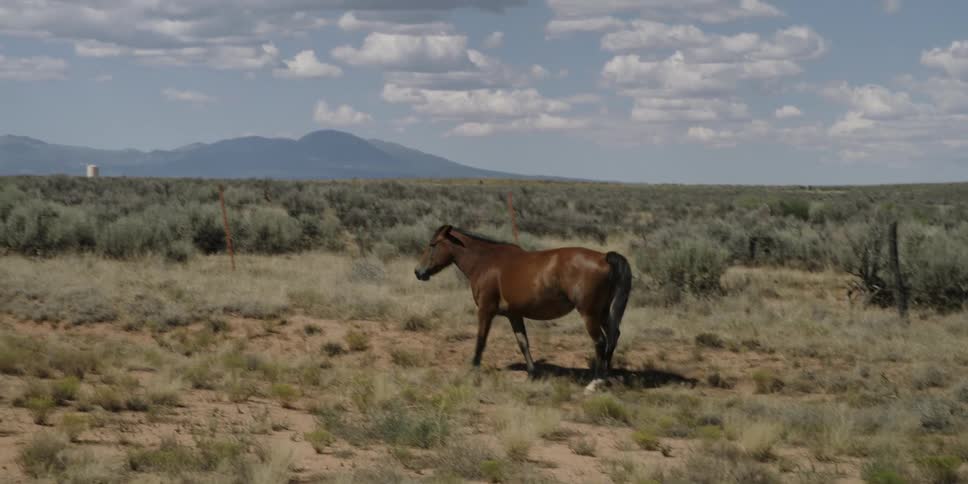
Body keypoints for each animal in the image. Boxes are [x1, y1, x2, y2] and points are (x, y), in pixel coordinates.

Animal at [414, 225, 632, 391]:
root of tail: (604, 257)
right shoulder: (514, 315)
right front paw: (532, 373)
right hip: (603, 313)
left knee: (601, 341)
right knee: (614, 336)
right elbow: (523, 343)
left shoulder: (485, 310)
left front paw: (473, 368)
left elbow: (481, 340)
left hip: (589, 314)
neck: (485, 262)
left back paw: (595, 382)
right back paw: (607, 376)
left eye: (432, 244)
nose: (418, 272)